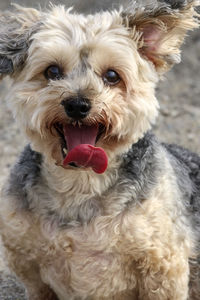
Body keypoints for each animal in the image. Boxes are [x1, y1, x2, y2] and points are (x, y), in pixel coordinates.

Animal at [0, 0, 200, 300]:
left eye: (112, 76)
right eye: (52, 71)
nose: (77, 104)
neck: (81, 184)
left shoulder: (164, 266)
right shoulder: (28, 264)